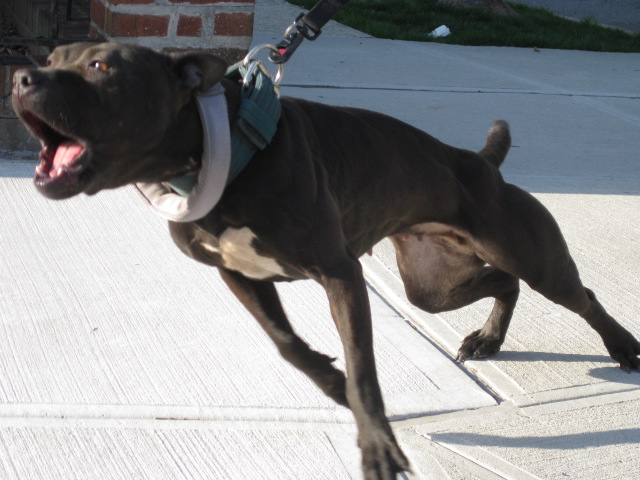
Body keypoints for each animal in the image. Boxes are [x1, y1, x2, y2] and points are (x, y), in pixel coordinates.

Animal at [12, 42, 640, 479]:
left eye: (101, 67)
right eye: (53, 58)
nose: (20, 76)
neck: (222, 151)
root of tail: (482, 161)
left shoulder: (341, 275)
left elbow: (364, 370)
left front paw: (377, 441)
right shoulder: (239, 274)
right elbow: (287, 345)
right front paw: (332, 383)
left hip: (528, 253)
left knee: (578, 295)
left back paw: (621, 347)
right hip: (431, 287)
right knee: (505, 283)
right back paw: (488, 338)